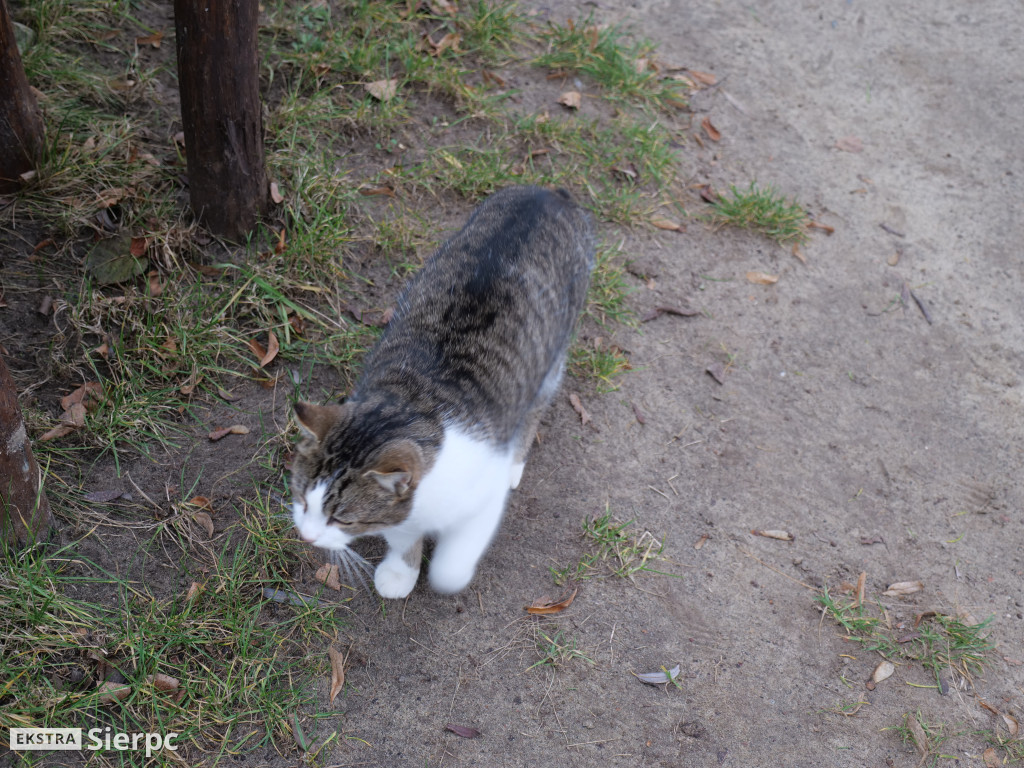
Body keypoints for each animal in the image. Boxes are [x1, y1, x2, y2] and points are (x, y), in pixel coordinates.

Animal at [288, 186, 593, 602]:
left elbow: (454, 559)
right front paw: (401, 572)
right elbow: (403, 535)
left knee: (535, 407)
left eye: (341, 518)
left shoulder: (484, 494)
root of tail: (549, 194)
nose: (306, 536)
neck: (412, 403)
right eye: (303, 499)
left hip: (554, 352)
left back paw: (517, 459)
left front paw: (442, 574)